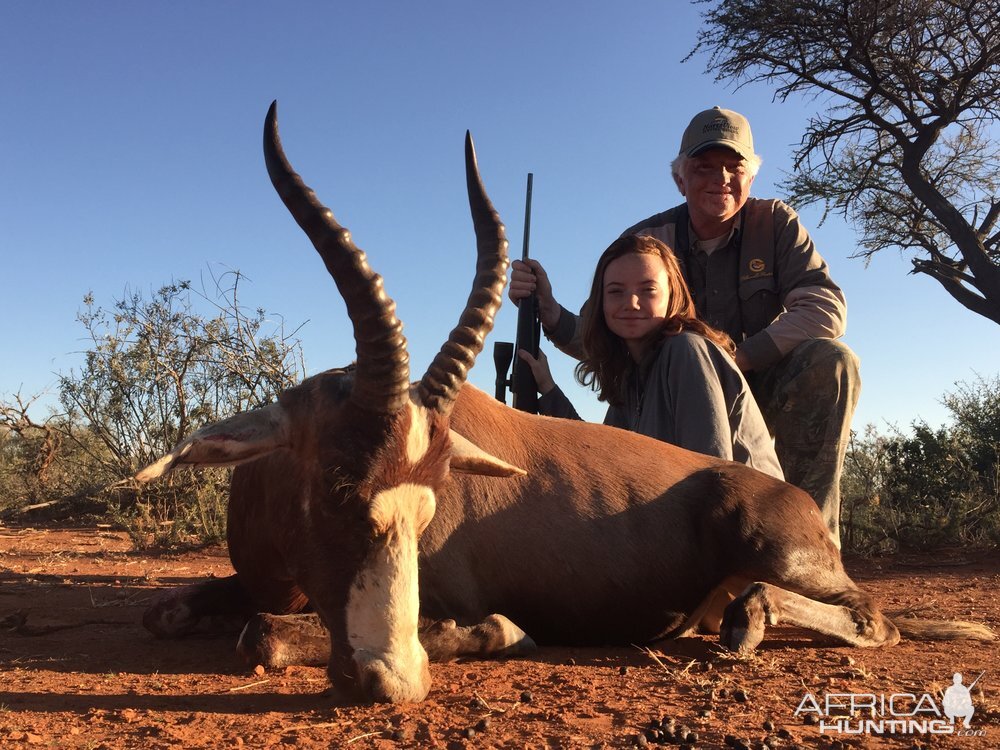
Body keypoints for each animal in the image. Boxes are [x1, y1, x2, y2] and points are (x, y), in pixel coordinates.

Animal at [137, 104, 996, 704]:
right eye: (336, 491)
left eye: (430, 508)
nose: (394, 682)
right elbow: (173, 612)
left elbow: (264, 636)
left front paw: (493, 633)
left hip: (787, 554)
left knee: (873, 617)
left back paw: (749, 619)